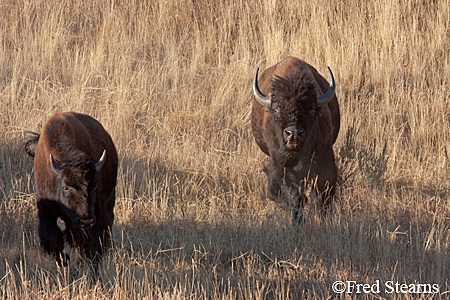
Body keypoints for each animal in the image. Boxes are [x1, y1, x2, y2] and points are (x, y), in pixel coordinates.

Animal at [32, 112, 118, 270]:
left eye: (95, 186)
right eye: (66, 187)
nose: (86, 220)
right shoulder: (46, 210)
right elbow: (51, 238)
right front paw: (64, 261)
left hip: (107, 204)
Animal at [251, 56, 340, 220]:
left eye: (312, 110)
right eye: (276, 110)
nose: (293, 134)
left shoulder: (325, 159)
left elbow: (323, 193)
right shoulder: (281, 165)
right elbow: (293, 196)